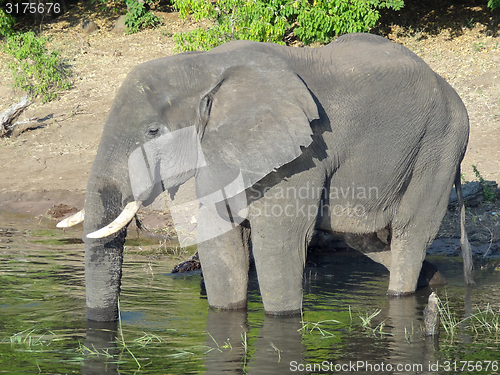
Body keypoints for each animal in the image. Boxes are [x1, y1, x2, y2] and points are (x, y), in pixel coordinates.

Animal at [57, 33, 472, 324]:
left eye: (153, 132)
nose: (113, 323)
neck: (204, 64)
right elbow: (220, 240)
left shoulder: (304, 155)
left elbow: (278, 241)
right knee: (365, 238)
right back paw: (434, 282)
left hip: (440, 145)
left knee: (410, 233)